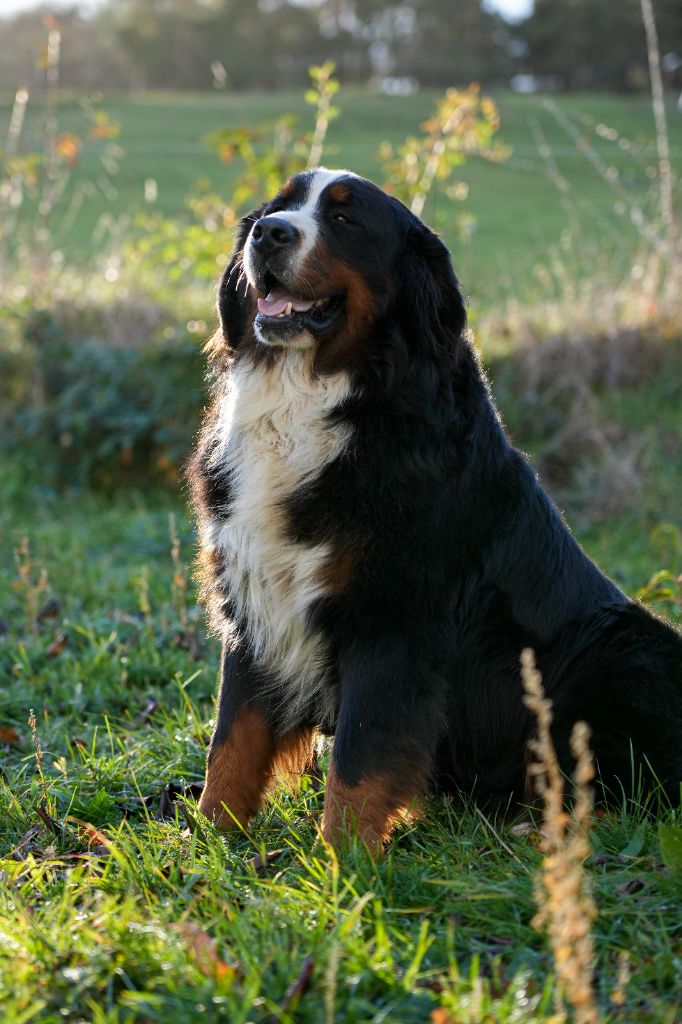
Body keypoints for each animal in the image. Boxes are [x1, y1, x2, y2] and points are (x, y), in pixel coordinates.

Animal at [188, 167, 679, 851]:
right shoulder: (254, 600)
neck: (316, 395)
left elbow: (359, 759)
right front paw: (206, 842)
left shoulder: (393, 617)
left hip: (626, 648)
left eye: (344, 219)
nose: (269, 234)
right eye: (278, 207)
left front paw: (342, 861)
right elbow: (231, 740)